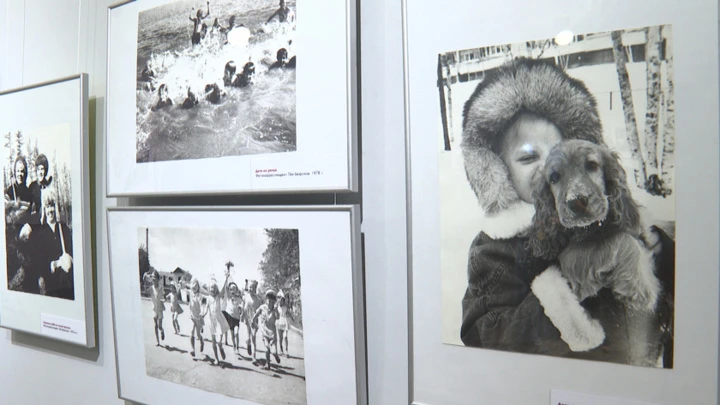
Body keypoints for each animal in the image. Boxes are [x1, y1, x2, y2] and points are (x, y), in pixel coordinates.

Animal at [524, 139, 660, 310]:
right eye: (554, 177)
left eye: (592, 165)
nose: (576, 202)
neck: (593, 228)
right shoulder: (577, 261)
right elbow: (623, 239)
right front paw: (640, 287)